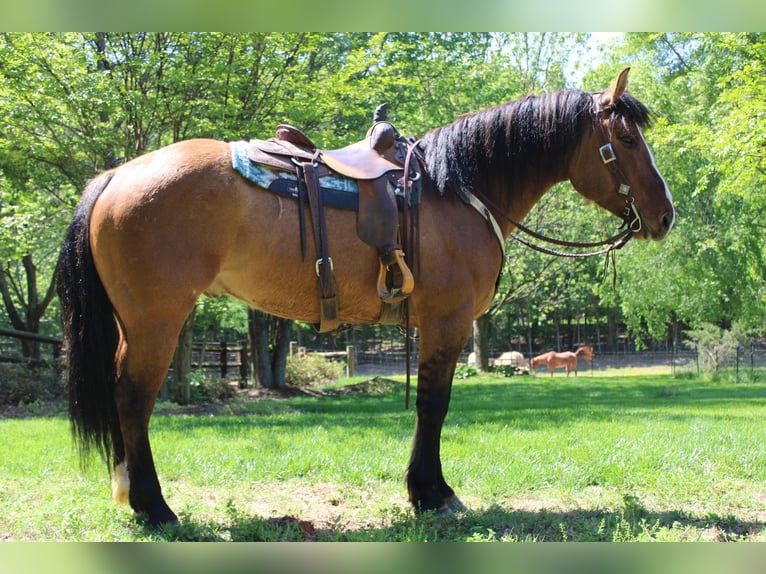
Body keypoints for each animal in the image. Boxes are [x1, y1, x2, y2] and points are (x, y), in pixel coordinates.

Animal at [57, 66, 676, 528]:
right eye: (625, 139)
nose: (666, 215)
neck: (457, 189)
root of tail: (114, 176)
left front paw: (426, 490)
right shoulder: (446, 322)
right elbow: (433, 405)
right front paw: (433, 493)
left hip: (135, 322)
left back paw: (130, 494)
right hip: (158, 320)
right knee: (133, 397)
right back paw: (154, 507)